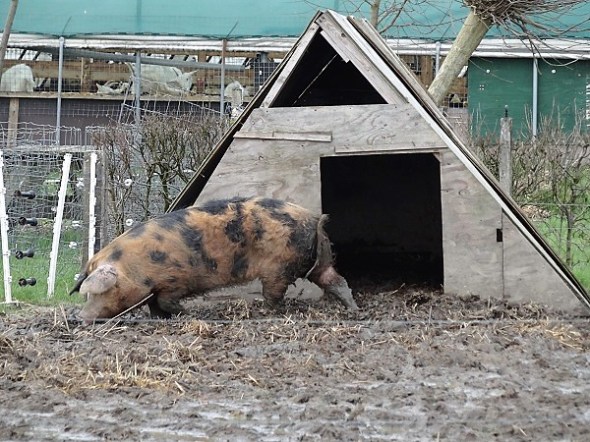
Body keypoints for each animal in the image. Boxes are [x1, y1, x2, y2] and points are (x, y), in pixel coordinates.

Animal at [70, 197, 358, 323]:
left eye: (99, 292)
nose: (80, 317)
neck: (133, 268)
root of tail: (315, 219)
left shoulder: (174, 281)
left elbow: (166, 301)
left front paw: (185, 315)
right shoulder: (157, 287)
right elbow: (155, 305)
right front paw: (159, 319)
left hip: (278, 267)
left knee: (274, 295)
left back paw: (263, 312)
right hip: (319, 259)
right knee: (335, 279)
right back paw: (353, 310)